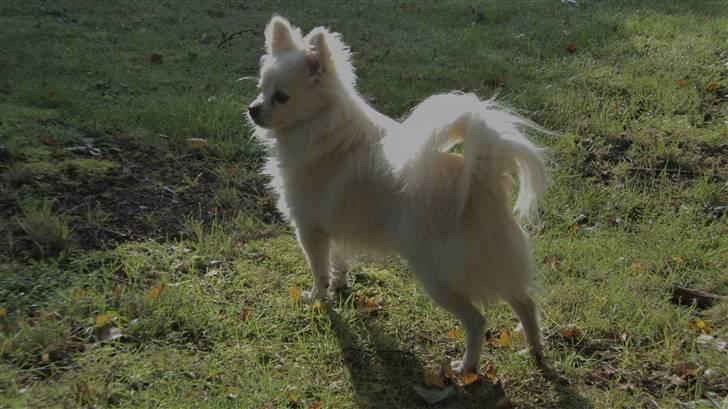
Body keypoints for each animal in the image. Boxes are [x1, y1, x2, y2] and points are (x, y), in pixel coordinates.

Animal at [247, 15, 548, 372]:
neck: (322, 129)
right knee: (526, 303)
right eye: (260, 90)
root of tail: (480, 180)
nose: (252, 109)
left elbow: (318, 270)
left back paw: (466, 368)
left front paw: (315, 298)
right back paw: (533, 352)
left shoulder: (310, 229)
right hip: (493, 264)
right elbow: (338, 261)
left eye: (281, 97)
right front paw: (340, 286)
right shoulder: (334, 226)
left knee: (476, 321)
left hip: (437, 276)